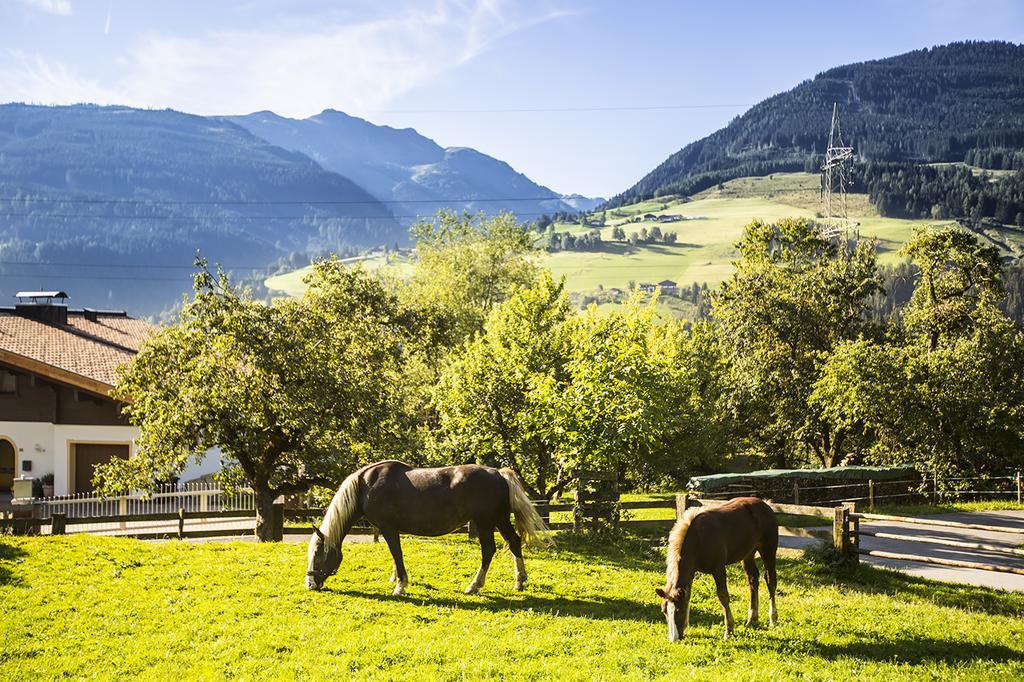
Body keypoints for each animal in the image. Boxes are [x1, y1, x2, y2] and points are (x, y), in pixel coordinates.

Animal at [305, 458, 552, 593]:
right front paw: (395, 578)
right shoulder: (392, 529)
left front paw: (400, 586)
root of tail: (499, 474)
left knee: (488, 551)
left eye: (318, 553)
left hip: (485, 524)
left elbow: (397, 553)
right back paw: (519, 581)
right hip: (499, 521)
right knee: (515, 543)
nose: (310, 583)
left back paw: (474, 585)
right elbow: (395, 554)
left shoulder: (387, 527)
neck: (366, 485)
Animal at [655, 497, 774, 638]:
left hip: (768, 550)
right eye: (664, 611)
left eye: (679, 611)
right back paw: (751, 619)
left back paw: (773, 619)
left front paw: (729, 630)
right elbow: (688, 595)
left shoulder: (718, 569)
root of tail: (765, 504)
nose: (674, 639)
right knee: (753, 580)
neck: (699, 539)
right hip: (747, 555)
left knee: (771, 580)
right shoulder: (691, 572)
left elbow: (723, 596)